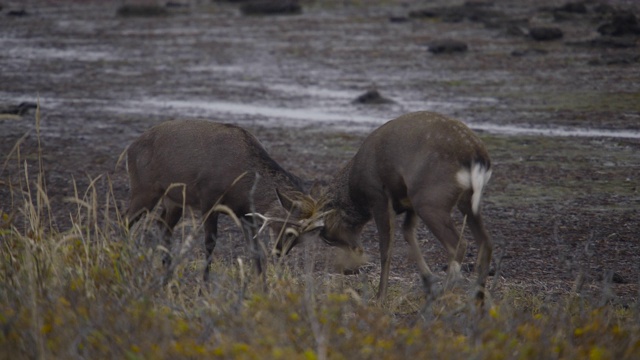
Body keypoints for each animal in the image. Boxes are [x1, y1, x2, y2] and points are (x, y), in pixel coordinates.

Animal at [125, 119, 324, 280]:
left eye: (303, 237)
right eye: (290, 231)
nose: (280, 252)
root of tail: (129, 149)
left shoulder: (245, 213)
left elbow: (255, 250)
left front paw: (262, 286)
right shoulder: (208, 198)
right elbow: (210, 243)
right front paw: (204, 284)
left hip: (174, 200)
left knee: (162, 226)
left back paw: (167, 272)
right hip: (144, 189)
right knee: (126, 220)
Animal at [320, 111, 496, 302]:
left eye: (330, 237)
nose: (348, 270)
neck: (356, 193)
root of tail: (476, 156)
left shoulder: (379, 197)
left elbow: (386, 249)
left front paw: (381, 297)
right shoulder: (408, 204)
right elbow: (407, 233)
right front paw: (428, 280)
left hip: (429, 199)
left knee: (459, 244)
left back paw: (444, 294)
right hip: (465, 201)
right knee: (485, 242)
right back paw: (477, 298)